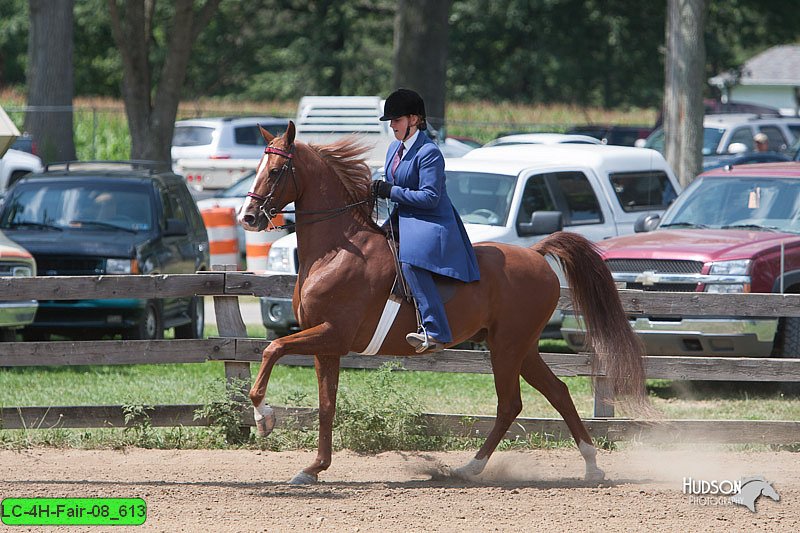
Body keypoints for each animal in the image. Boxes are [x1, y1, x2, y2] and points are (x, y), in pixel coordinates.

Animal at [239, 122, 648, 484]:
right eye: (255, 169)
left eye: (276, 171)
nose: (248, 217)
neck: (338, 250)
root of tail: (534, 252)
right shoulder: (327, 346)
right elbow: (326, 406)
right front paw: (313, 468)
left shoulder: (333, 335)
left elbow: (272, 349)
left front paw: (264, 417)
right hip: (522, 347)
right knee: (557, 393)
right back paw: (590, 466)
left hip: (507, 347)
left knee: (510, 404)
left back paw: (471, 468)